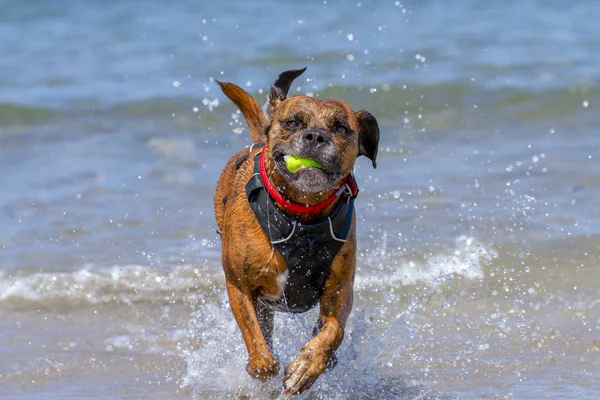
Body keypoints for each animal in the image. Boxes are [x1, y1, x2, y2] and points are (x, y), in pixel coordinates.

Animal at [213, 67, 378, 396]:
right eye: (292, 123)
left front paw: (308, 366)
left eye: (341, 128)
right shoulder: (238, 285)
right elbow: (258, 347)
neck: (303, 220)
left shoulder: (340, 287)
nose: (315, 136)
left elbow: (333, 330)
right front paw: (261, 366)